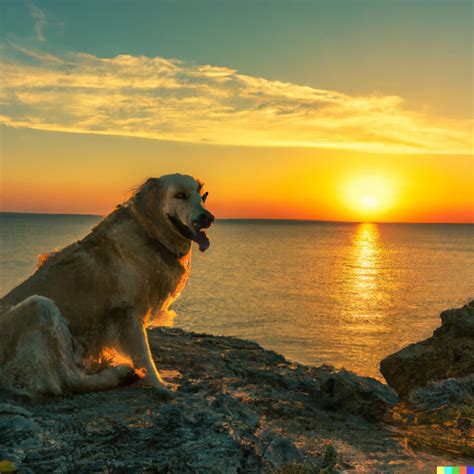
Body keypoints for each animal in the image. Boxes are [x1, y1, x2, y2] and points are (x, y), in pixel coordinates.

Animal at [0, 173, 215, 396]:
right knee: (66, 381)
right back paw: (117, 375)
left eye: (202, 196)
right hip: (40, 307)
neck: (149, 234)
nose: (208, 218)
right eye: (180, 196)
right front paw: (161, 384)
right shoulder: (127, 313)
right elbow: (144, 356)